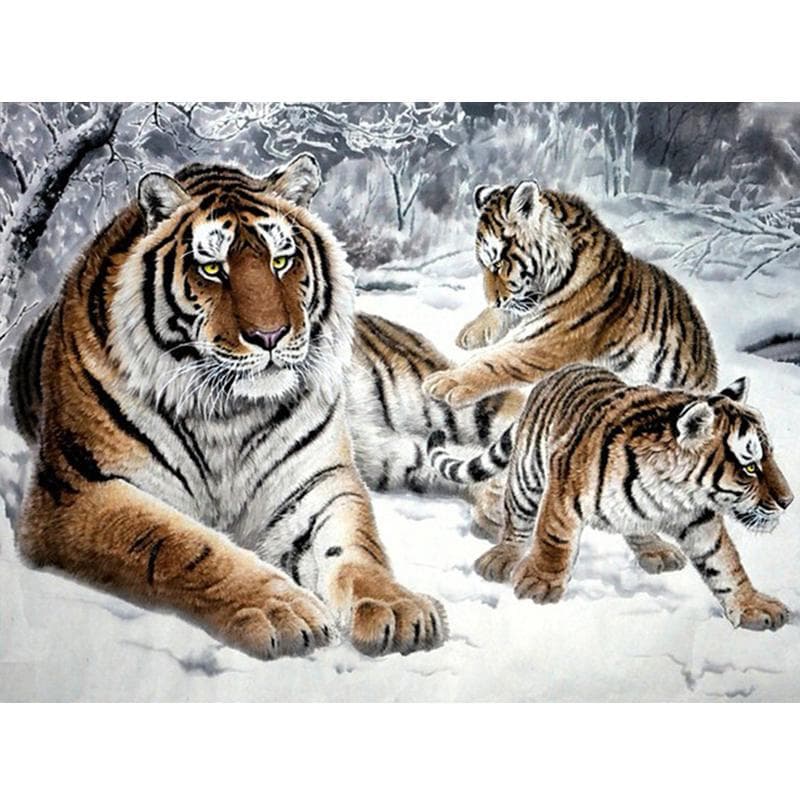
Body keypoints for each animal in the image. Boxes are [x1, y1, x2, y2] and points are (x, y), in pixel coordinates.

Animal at [9, 154, 467, 660]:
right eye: (212, 269)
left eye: (281, 261)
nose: (270, 336)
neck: (226, 411)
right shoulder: (76, 494)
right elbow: (183, 546)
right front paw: (282, 611)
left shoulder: (316, 483)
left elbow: (354, 549)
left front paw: (396, 607)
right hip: (399, 455)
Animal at [424, 181, 719, 409]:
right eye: (484, 265)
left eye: (497, 264)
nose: (492, 300)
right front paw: (470, 333)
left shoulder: (547, 343)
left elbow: (493, 361)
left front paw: (446, 381)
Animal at [427, 364, 794, 631]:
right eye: (750, 467)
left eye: (769, 457)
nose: (789, 501)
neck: (673, 491)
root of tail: (560, 371)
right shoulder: (564, 489)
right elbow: (554, 537)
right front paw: (540, 583)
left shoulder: (700, 519)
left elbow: (726, 564)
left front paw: (752, 605)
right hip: (527, 477)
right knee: (517, 519)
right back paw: (502, 556)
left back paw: (656, 550)